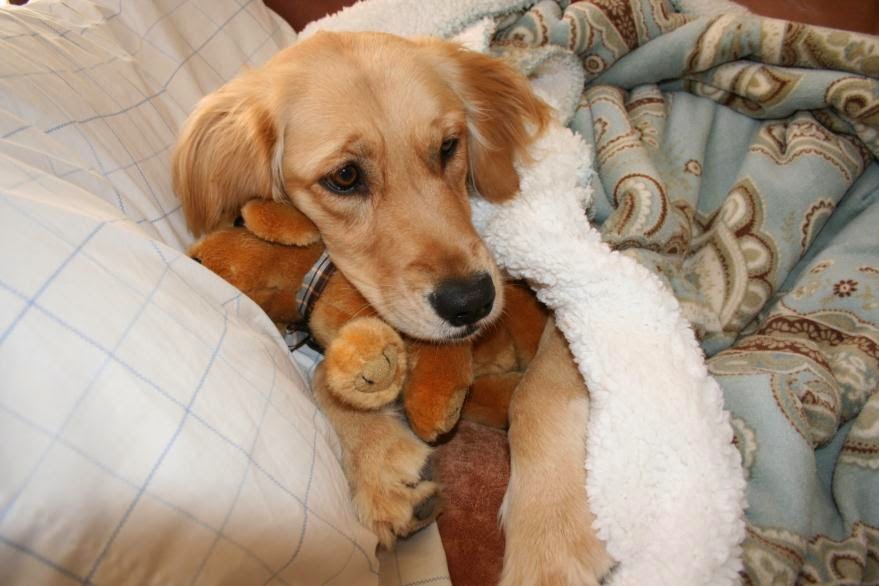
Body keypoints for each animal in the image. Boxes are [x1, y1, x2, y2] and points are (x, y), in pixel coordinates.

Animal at [173, 31, 612, 585]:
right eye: (344, 177)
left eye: (448, 146)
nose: (472, 302)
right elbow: (325, 373)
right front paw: (379, 462)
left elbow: (538, 393)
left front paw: (547, 543)